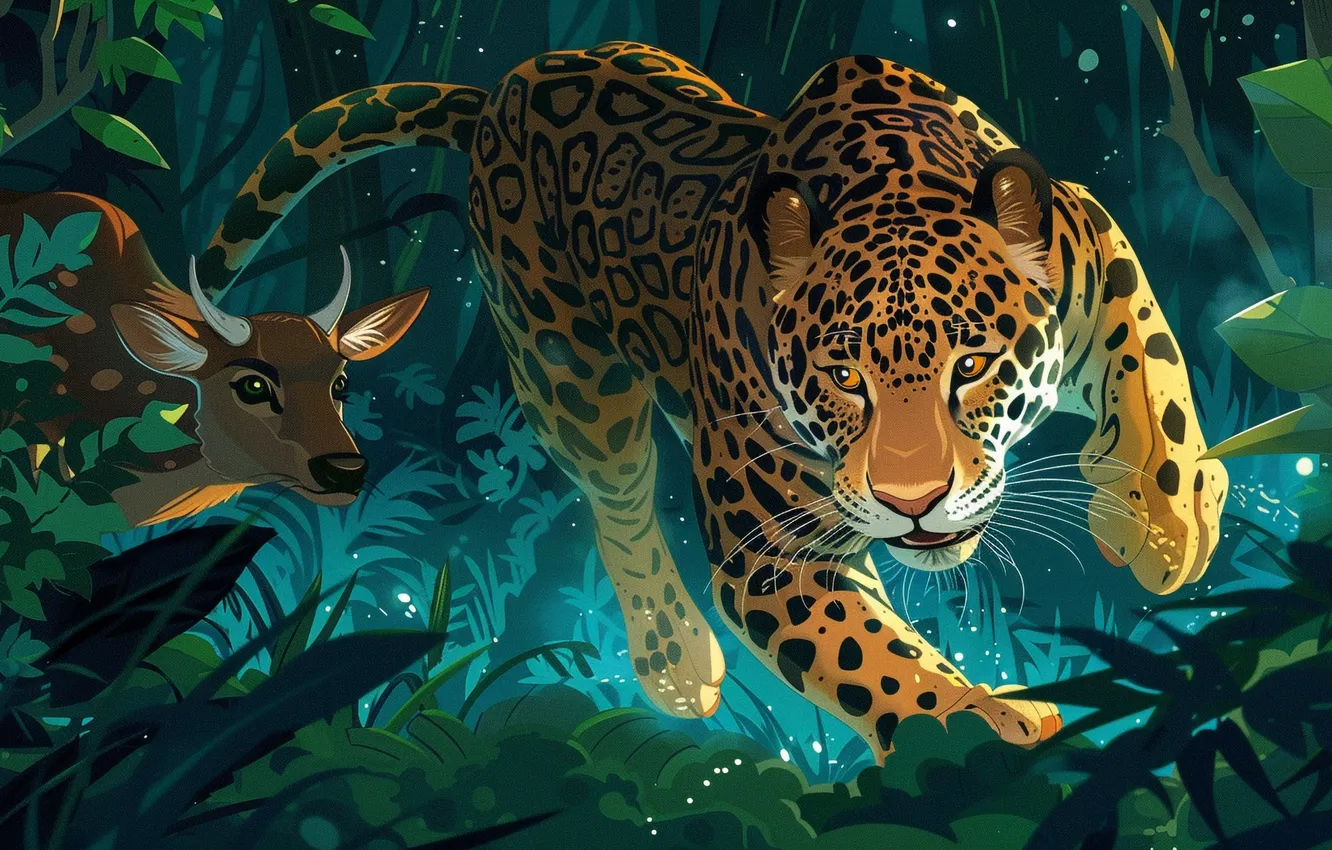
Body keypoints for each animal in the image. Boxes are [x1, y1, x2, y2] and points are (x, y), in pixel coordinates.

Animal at [195, 42, 1228, 761]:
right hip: (574, 383)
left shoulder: (1094, 237)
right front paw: (979, 722)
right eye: (842, 379)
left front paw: (1164, 524)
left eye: (971, 365)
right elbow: (876, 664)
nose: (912, 503)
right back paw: (675, 664)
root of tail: (496, 96)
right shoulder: (774, 554)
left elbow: (1155, 373)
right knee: (618, 506)